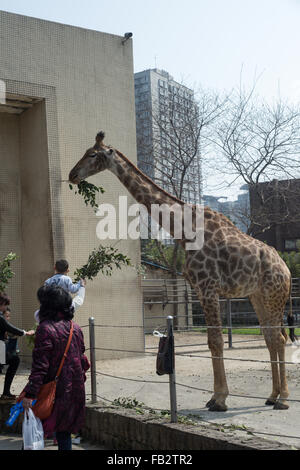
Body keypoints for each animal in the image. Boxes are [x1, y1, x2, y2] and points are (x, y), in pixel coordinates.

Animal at [69, 132, 296, 412]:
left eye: (92, 154)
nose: (72, 174)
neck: (183, 230)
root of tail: (286, 269)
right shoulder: (199, 289)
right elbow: (212, 341)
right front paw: (214, 397)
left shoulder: (208, 286)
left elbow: (215, 340)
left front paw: (220, 399)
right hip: (258, 296)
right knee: (271, 336)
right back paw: (272, 395)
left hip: (274, 294)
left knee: (279, 338)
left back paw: (283, 399)